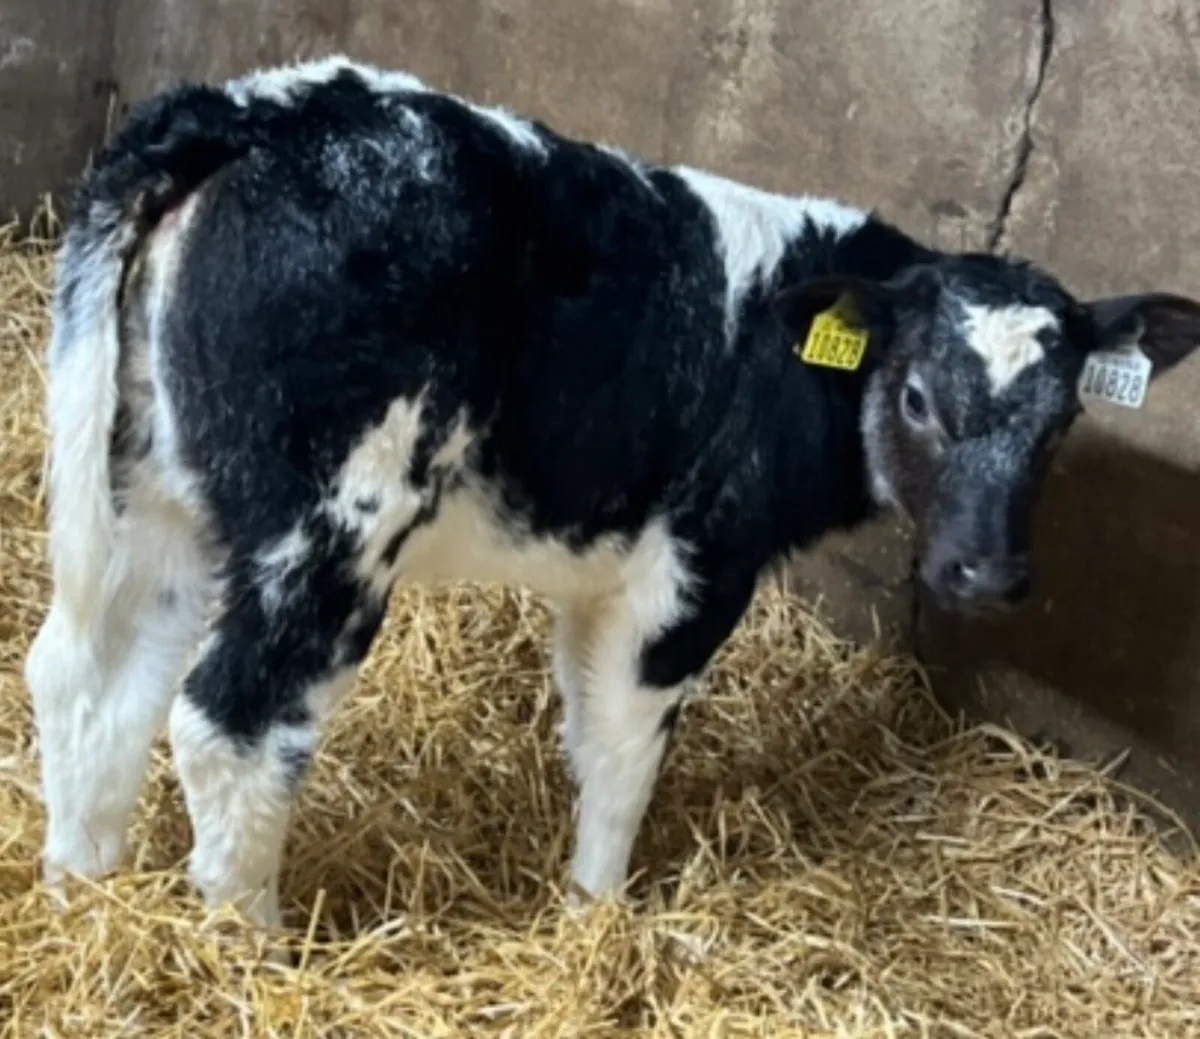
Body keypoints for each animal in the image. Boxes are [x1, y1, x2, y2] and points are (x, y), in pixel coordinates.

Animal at [24, 56, 1200, 931]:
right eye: (913, 396)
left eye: (1064, 419)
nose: (986, 574)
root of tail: (253, 113)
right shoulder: (695, 563)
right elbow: (631, 744)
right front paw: (599, 912)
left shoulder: (599, 566)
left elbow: (587, 724)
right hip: (332, 525)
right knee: (233, 717)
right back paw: (252, 943)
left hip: (155, 492)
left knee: (89, 672)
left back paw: (84, 892)